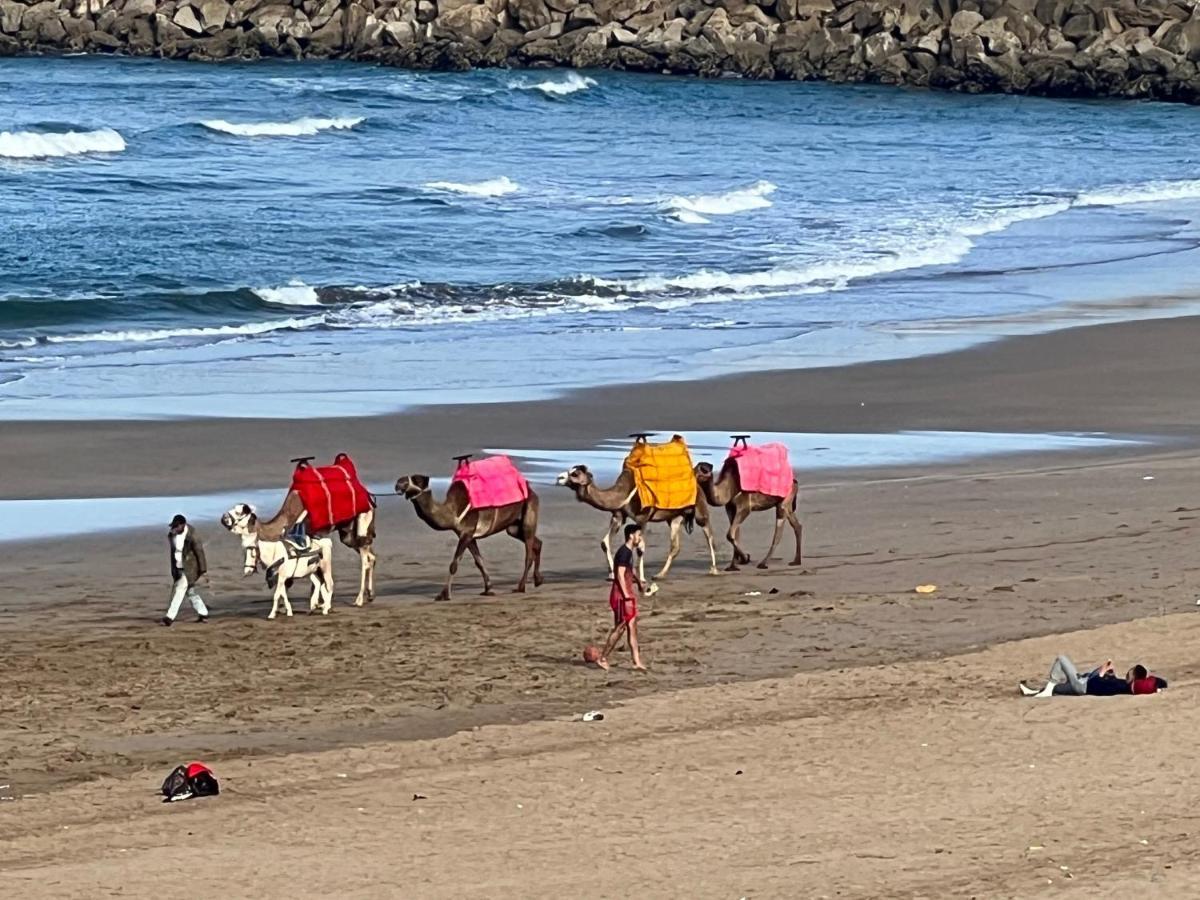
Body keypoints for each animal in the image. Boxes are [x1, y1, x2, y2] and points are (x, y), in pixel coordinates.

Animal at [393, 475, 544, 602]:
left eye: (415, 479)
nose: (398, 484)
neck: (452, 512)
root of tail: (531, 490)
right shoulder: (468, 536)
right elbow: (479, 561)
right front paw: (488, 590)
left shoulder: (467, 532)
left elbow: (454, 564)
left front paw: (444, 595)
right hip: (513, 526)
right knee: (536, 542)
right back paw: (538, 580)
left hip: (529, 512)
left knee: (528, 552)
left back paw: (521, 587)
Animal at [556, 465, 715, 585]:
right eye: (571, 470)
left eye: (575, 473)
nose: (559, 478)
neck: (622, 495)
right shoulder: (618, 516)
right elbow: (605, 542)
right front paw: (612, 575)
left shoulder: (642, 518)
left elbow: (640, 548)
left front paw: (642, 579)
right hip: (674, 517)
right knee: (675, 546)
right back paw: (659, 575)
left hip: (700, 510)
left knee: (709, 535)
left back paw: (713, 570)